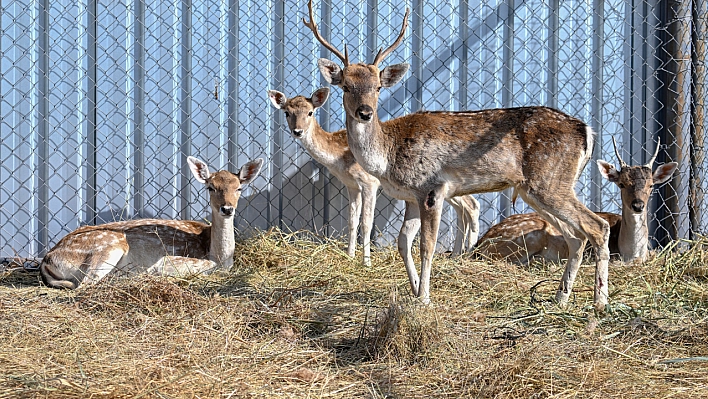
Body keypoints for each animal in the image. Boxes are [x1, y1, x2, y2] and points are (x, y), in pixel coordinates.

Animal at [38, 155, 262, 290]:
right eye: (210, 187)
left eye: (239, 188)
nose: (227, 208)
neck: (219, 255)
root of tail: (47, 260)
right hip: (107, 246)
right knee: (85, 284)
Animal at [266, 86, 482, 266]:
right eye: (287, 113)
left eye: (310, 112)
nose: (298, 131)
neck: (338, 158)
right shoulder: (351, 185)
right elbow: (351, 220)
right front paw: (350, 255)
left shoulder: (369, 182)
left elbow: (366, 223)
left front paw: (366, 262)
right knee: (464, 208)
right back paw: (456, 255)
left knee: (472, 205)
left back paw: (467, 253)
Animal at [304, 0, 612, 310]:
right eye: (345, 86)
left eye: (378, 86)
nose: (365, 112)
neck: (387, 157)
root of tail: (586, 131)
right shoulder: (410, 197)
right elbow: (403, 242)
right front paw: (414, 288)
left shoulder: (431, 187)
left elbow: (426, 246)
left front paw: (425, 298)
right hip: (536, 189)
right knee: (576, 236)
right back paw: (560, 299)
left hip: (550, 181)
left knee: (597, 226)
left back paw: (599, 302)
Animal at [478, 138, 676, 266]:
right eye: (621, 184)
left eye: (651, 185)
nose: (638, 205)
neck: (631, 253)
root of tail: (480, 244)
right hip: (528, 238)